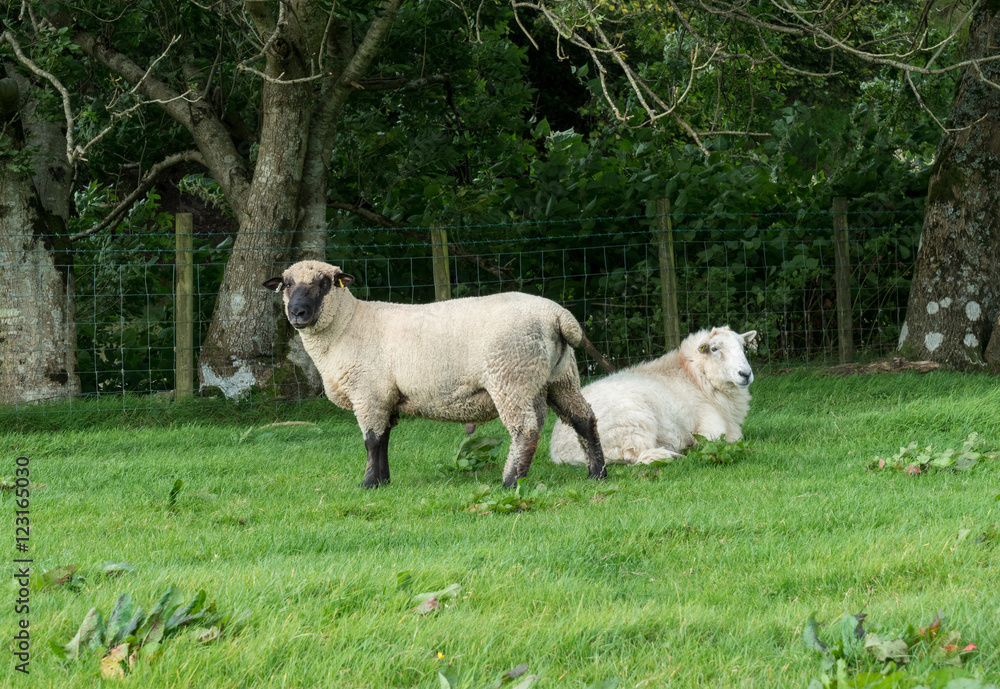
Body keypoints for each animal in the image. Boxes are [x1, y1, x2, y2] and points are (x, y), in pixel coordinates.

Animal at [263, 260, 606, 488]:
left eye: (325, 283)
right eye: (287, 284)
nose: (297, 313)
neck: (347, 325)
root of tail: (558, 316)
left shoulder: (368, 393)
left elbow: (371, 441)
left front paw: (368, 484)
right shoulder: (385, 397)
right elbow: (384, 439)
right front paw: (384, 481)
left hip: (511, 377)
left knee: (526, 430)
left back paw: (510, 481)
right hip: (557, 378)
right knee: (584, 419)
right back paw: (597, 474)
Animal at [549, 326, 757, 466]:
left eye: (743, 347)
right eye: (714, 349)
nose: (745, 374)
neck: (695, 376)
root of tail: (560, 451)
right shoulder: (710, 431)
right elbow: (728, 439)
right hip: (633, 421)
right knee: (635, 457)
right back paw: (673, 455)